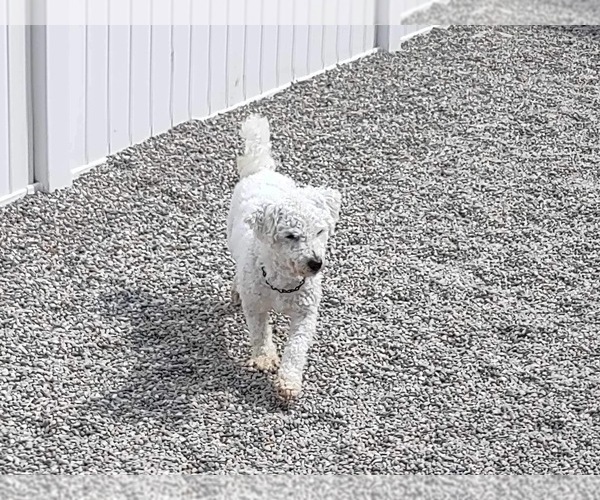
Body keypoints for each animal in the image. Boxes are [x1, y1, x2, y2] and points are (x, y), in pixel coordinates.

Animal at [227, 114, 342, 402]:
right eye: (291, 236)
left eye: (320, 231)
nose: (316, 263)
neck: (283, 281)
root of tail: (261, 169)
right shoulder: (256, 306)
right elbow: (259, 333)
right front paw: (265, 359)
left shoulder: (305, 314)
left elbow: (297, 348)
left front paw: (288, 382)